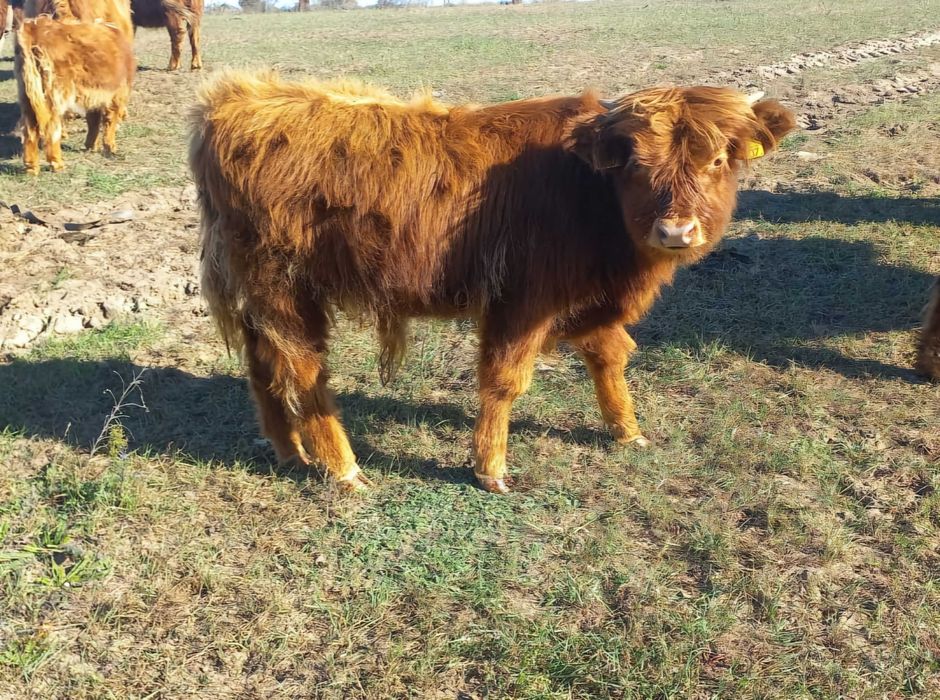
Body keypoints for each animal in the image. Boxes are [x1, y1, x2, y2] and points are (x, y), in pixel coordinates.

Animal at [15, 10, 135, 174]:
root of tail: (34, 27)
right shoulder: (116, 96)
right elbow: (109, 122)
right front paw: (110, 148)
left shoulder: (94, 98)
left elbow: (93, 121)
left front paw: (91, 146)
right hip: (54, 96)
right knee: (51, 129)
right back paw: (57, 164)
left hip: (28, 97)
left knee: (30, 130)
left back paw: (31, 168)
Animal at [190, 73, 795, 494]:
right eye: (635, 166)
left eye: (717, 160)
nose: (675, 231)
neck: (586, 192)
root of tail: (235, 100)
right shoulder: (523, 301)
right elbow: (505, 381)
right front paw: (491, 468)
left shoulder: (584, 303)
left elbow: (609, 357)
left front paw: (627, 430)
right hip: (284, 290)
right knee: (304, 369)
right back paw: (344, 470)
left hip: (259, 299)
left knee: (263, 367)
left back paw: (289, 452)